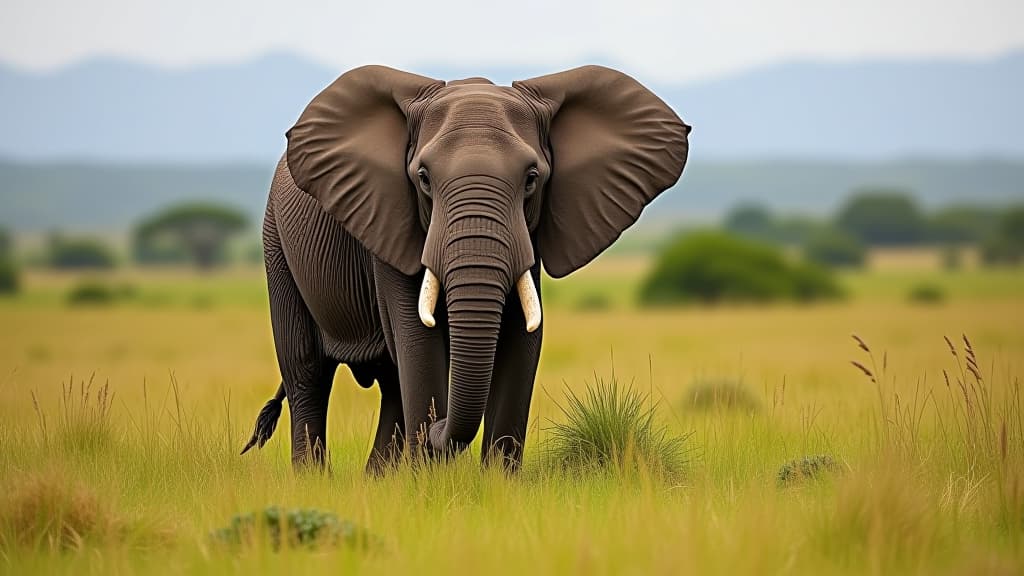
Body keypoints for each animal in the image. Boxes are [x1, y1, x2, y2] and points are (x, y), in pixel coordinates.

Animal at [239, 63, 688, 471]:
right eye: (423, 178)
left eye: (531, 178)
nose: (436, 432)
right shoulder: (387, 221)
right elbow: (417, 338)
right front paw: (429, 481)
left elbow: (523, 340)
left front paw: (496, 484)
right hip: (275, 242)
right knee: (308, 373)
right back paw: (314, 477)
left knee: (391, 383)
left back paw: (378, 479)